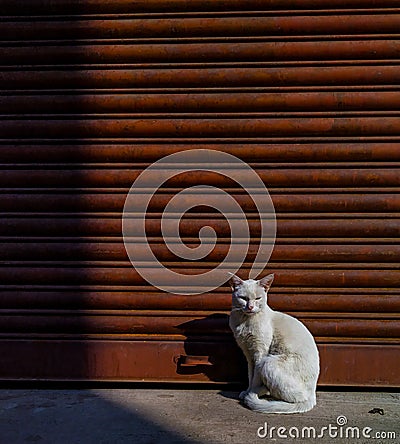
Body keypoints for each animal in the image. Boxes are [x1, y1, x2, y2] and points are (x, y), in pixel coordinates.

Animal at [230, 272, 320, 414]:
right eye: (243, 298)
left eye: (258, 298)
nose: (250, 307)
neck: (245, 322)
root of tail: (313, 395)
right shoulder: (249, 354)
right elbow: (250, 375)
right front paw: (247, 391)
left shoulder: (260, 354)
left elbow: (255, 378)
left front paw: (250, 393)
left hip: (267, 362)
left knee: (295, 397)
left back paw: (259, 393)